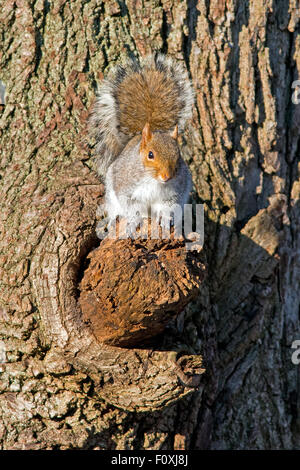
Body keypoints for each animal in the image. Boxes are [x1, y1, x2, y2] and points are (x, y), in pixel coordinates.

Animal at [89, 53, 193, 235]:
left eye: (178, 155)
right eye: (150, 155)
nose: (166, 176)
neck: (153, 180)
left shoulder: (174, 193)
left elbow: (168, 206)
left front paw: (165, 219)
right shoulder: (125, 186)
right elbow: (131, 206)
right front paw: (134, 220)